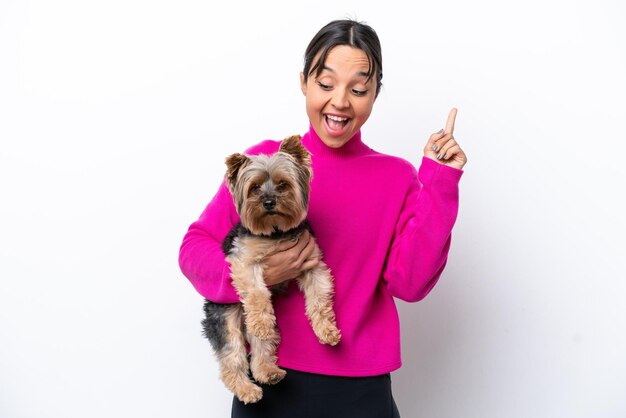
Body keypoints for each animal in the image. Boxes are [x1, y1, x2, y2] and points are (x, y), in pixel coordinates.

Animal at [201, 136, 338, 404]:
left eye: (283, 184)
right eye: (254, 187)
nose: (268, 202)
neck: (275, 232)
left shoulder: (312, 264)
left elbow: (319, 299)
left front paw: (327, 331)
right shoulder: (244, 262)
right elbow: (256, 293)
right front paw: (262, 321)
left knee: (261, 345)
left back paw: (268, 372)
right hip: (225, 318)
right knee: (233, 357)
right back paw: (247, 388)